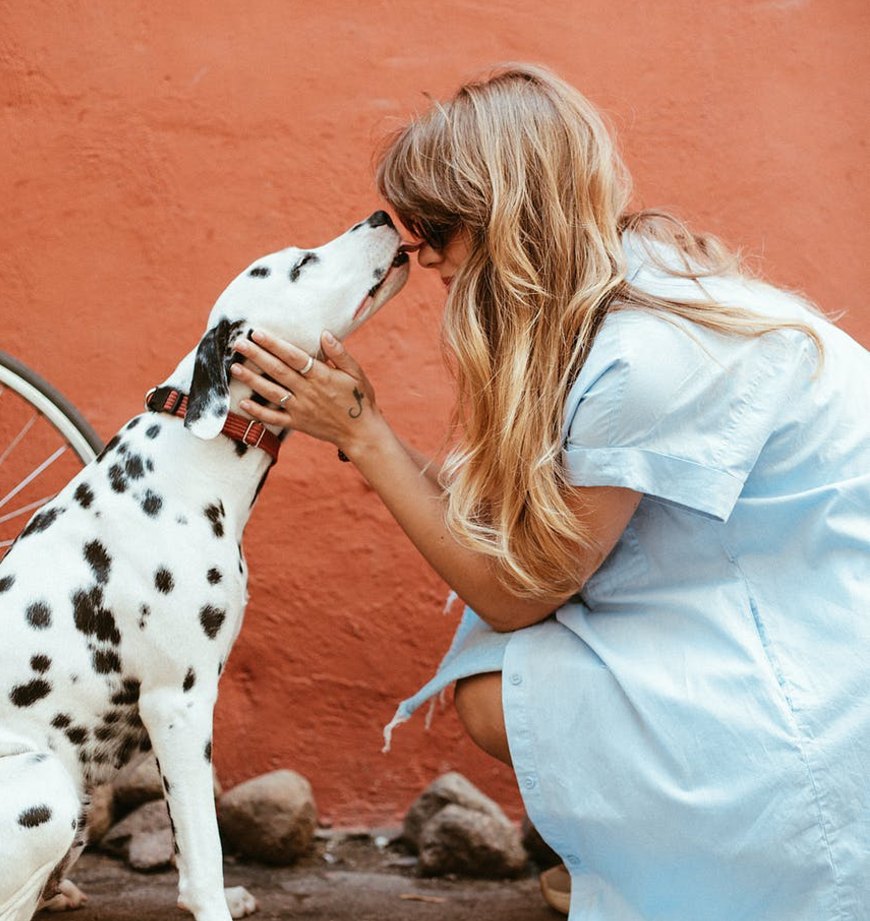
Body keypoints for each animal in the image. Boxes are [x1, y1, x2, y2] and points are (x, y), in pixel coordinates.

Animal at [0, 210, 414, 920]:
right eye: (301, 264)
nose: (383, 215)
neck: (189, 459)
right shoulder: (179, 704)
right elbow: (205, 849)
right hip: (44, 782)